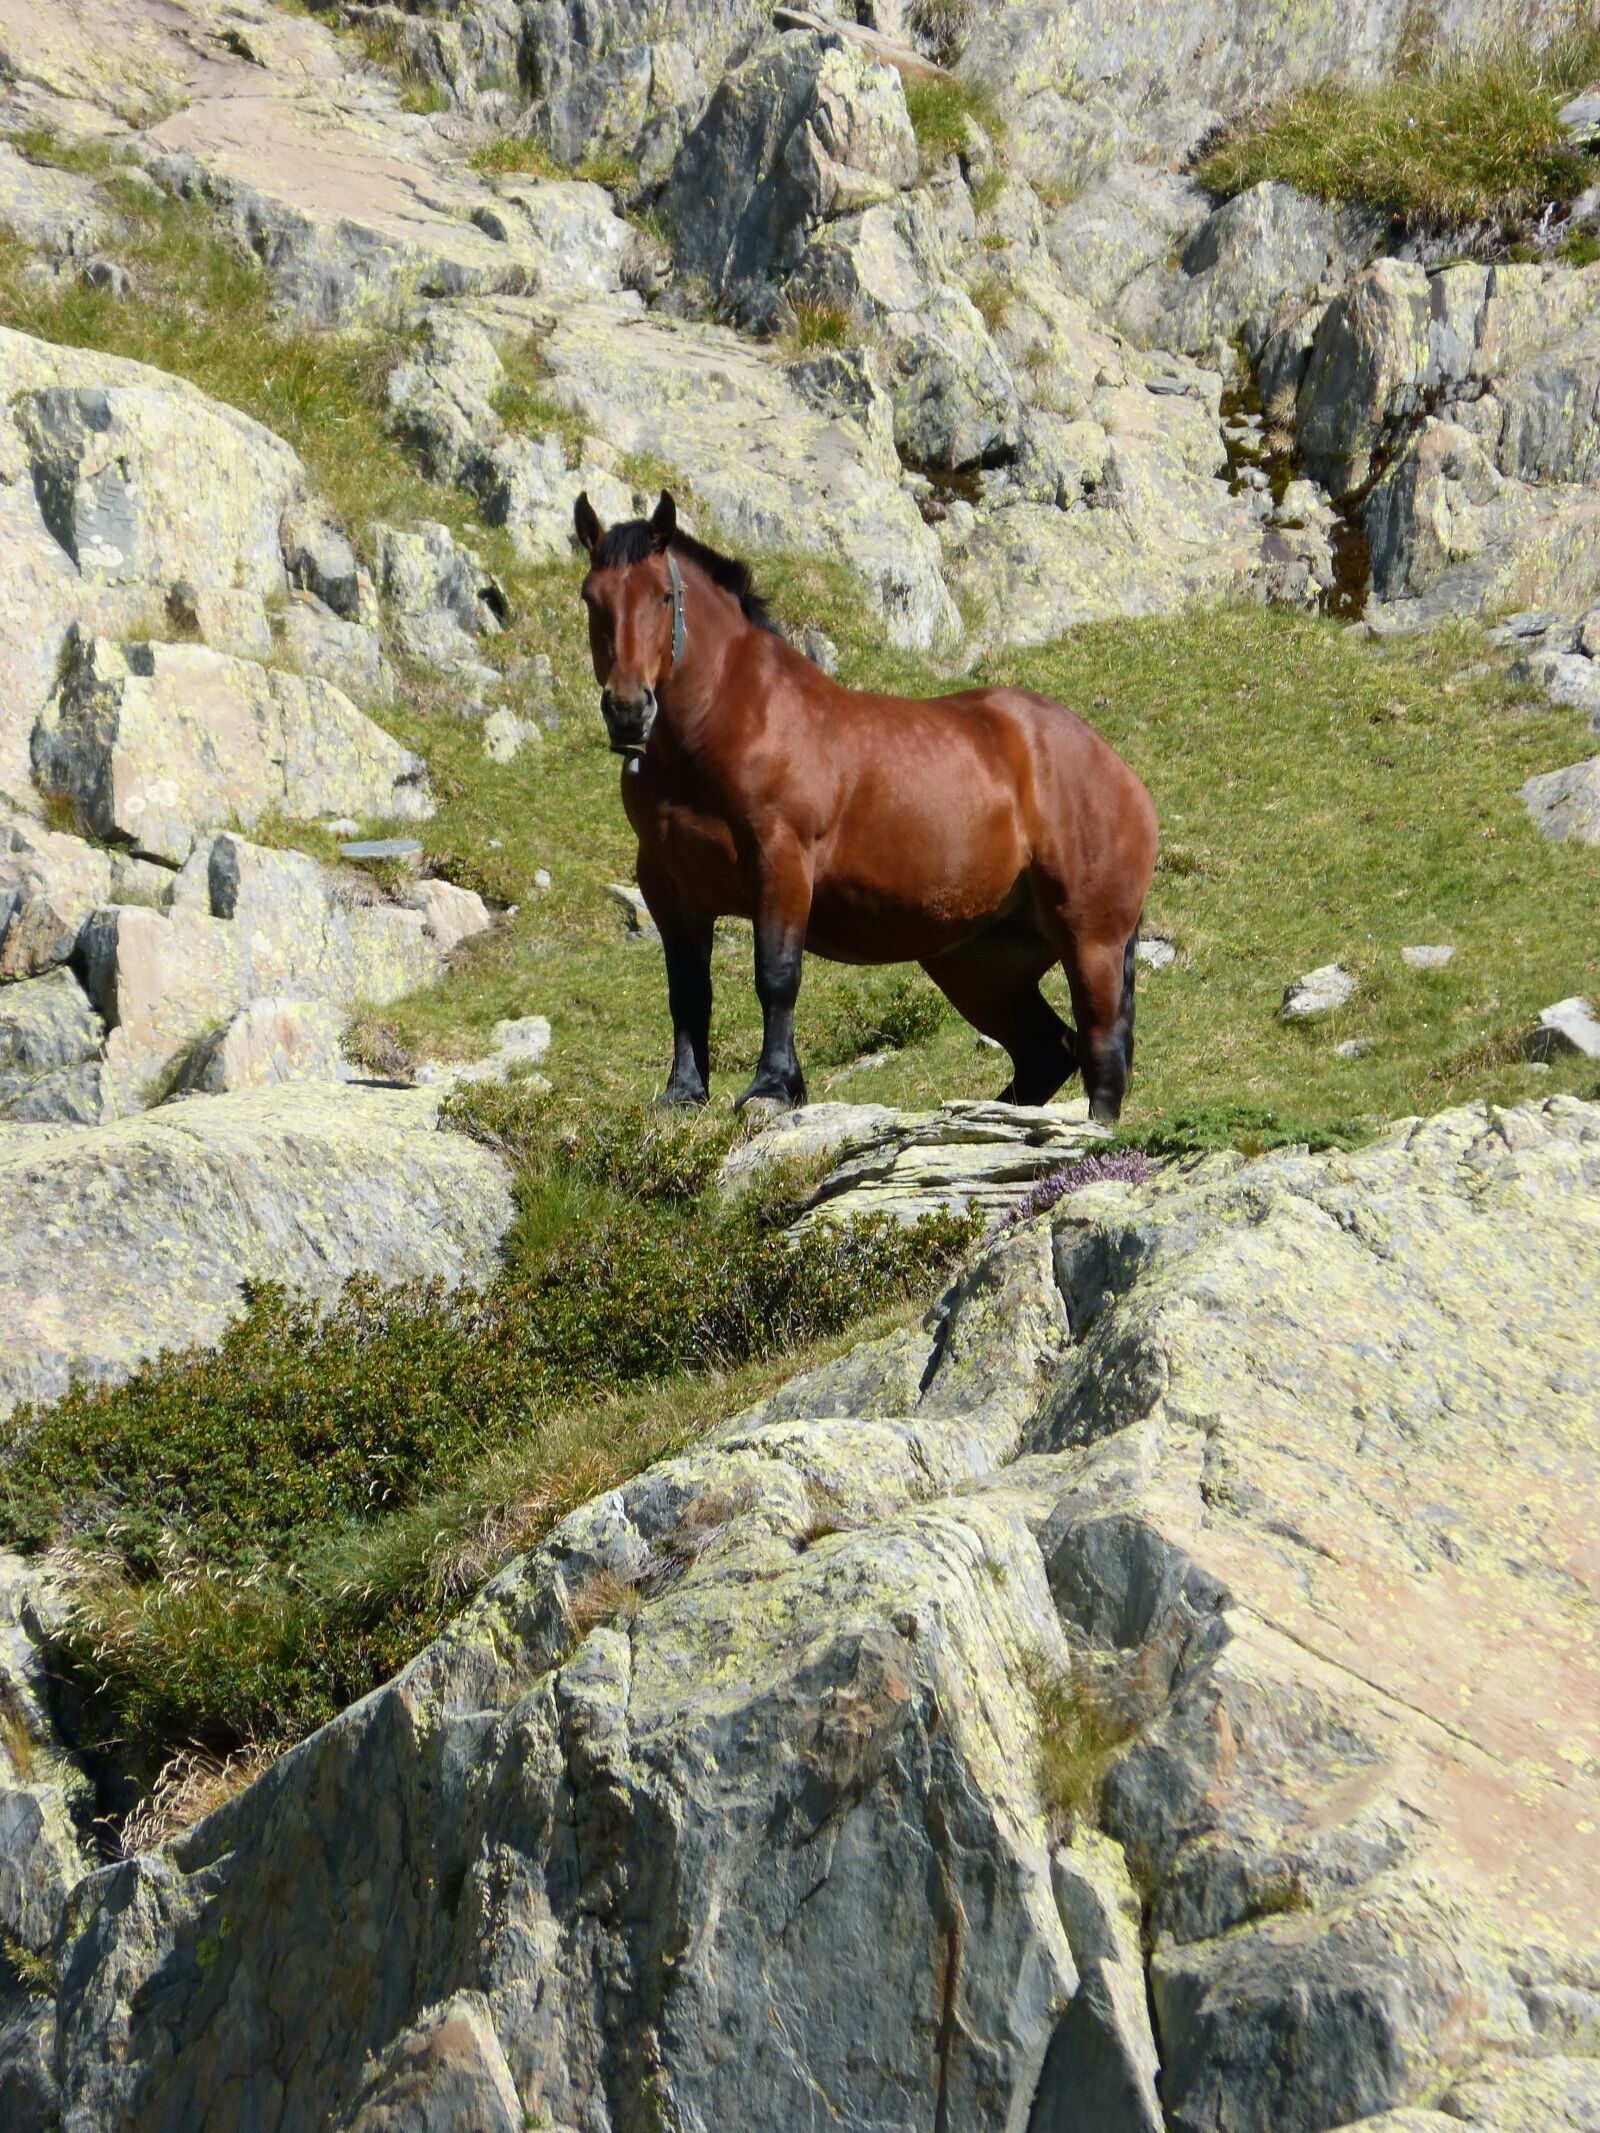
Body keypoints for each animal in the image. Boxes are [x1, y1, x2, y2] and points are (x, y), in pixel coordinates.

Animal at [574, 490, 1159, 1123]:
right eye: (591, 597)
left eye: (663, 595)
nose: (628, 710)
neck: (730, 724)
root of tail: (1117, 771)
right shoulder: (669, 888)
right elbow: (687, 990)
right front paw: (684, 1093)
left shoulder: (781, 865)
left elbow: (776, 976)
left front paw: (773, 1087)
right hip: (978, 964)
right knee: (1048, 1052)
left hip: (1091, 943)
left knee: (1101, 1053)